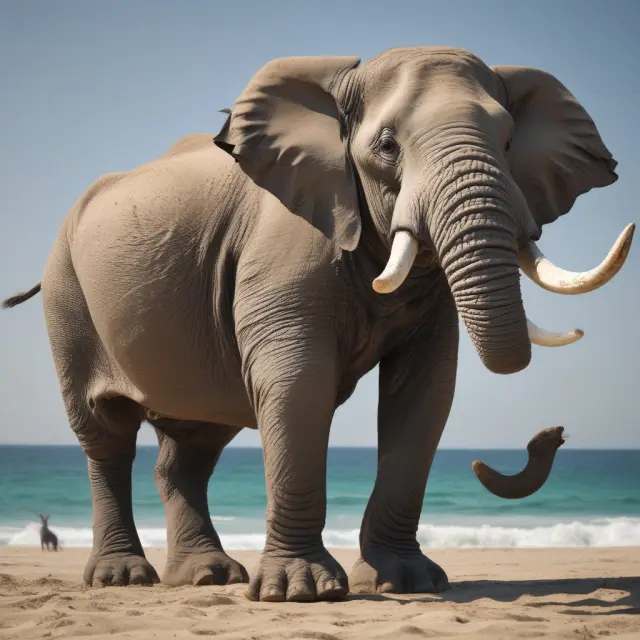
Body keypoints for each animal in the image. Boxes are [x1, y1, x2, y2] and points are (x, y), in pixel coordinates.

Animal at [2, 46, 634, 602]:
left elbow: (425, 391)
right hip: (68, 294)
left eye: (507, 142)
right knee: (105, 434)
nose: (550, 434)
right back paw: (125, 579)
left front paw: (408, 583)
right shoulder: (283, 247)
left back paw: (207, 578)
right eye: (387, 145)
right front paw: (301, 592)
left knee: (193, 445)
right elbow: (299, 380)